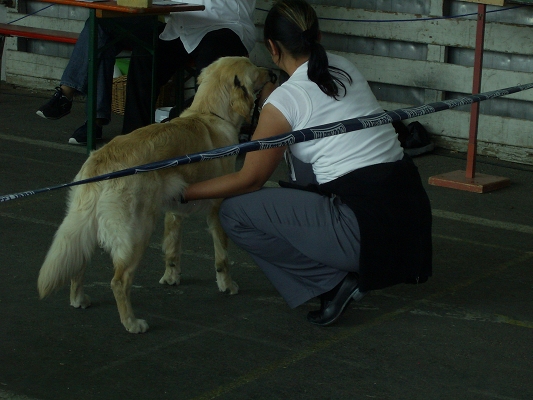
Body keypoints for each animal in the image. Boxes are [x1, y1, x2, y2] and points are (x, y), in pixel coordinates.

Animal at [37, 55, 274, 332]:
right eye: (254, 68)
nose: (272, 73)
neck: (209, 114)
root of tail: (100, 162)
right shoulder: (216, 208)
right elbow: (222, 257)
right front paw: (227, 285)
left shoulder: (174, 209)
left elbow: (172, 249)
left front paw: (171, 277)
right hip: (138, 232)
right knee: (119, 281)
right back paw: (131, 322)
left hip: (88, 226)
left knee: (78, 264)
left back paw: (78, 299)